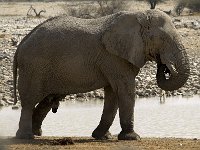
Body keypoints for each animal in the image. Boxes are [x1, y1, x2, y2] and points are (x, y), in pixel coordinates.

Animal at [13, 9, 190, 140]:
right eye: (162, 39)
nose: (165, 67)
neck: (139, 15)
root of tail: (22, 43)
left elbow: (113, 93)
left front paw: (103, 137)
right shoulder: (113, 57)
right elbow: (125, 90)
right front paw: (132, 137)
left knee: (48, 100)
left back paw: (37, 133)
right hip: (34, 67)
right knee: (29, 100)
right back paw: (26, 137)